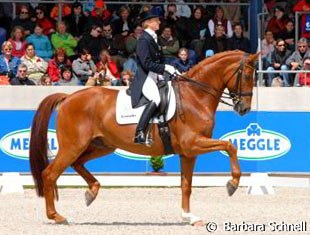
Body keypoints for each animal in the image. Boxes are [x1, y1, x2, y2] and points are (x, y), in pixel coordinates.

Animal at [29, 51, 260, 226]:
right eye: (248, 75)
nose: (244, 109)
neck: (195, 96)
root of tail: (68, 97)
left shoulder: (188, 153)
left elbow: (186, 185)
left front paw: (189, 217)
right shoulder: (192, 144)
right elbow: (230, 146)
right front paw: (232, 184)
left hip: (101, 145)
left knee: (77, 164)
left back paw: (91, 193)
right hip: (73, 146)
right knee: (49, 174)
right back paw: (57, 216)